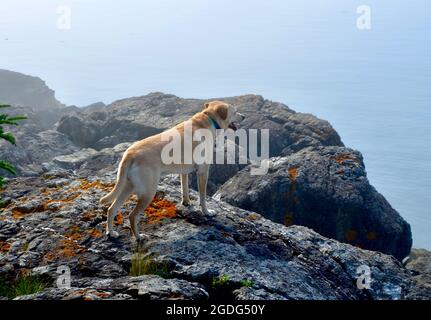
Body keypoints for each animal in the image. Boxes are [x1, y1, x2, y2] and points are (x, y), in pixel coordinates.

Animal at [101, 101, 243, 239]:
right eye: (235, 111)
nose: (244, 116)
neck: (208, 118)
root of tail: (129, 154)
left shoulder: (184, 172)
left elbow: (184, 189)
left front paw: (186, 203)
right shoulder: (203, 171)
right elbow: (202, 198)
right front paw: (207, 212)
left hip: (127, 187)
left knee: (111, 209)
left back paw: (111, 232)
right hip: (148, 192)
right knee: (132, 215)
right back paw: (139, 237)